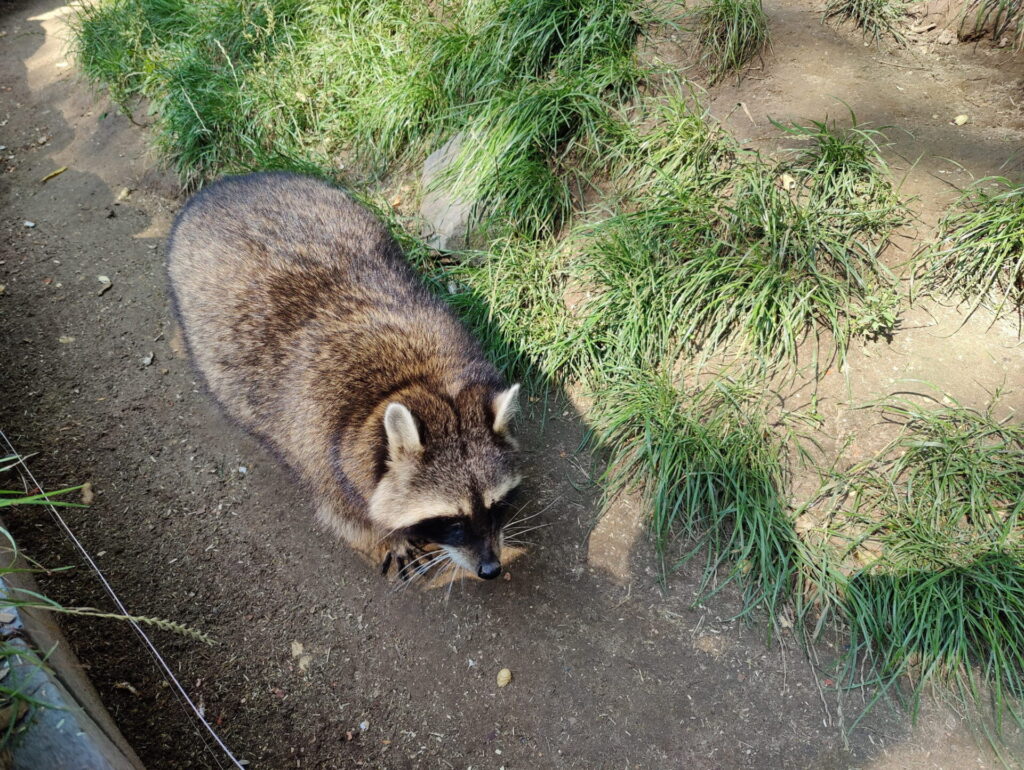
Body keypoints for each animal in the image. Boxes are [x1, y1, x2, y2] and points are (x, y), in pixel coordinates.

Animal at [168, 170, 524, 581]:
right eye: (452, 521)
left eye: (496, 505)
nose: (490, 569)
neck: (421, 384)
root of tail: (223, 185)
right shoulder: (323, 451)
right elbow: (347, 512)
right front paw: (387, 536)